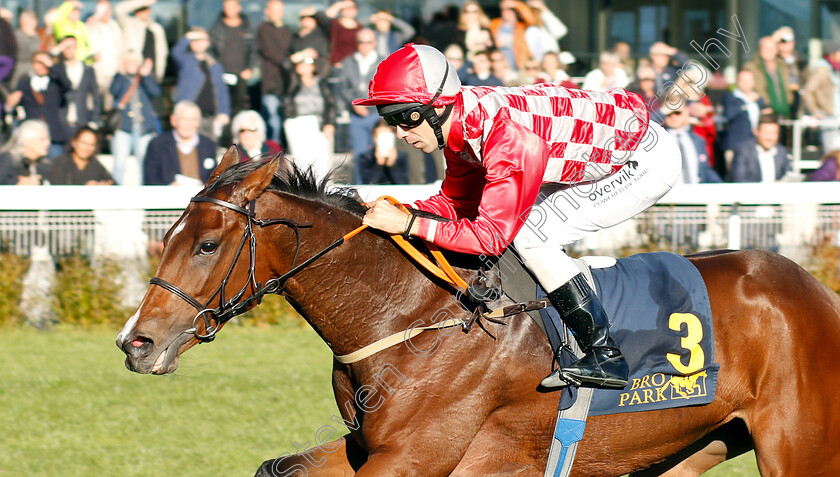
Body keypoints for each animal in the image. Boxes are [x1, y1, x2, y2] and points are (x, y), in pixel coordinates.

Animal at [116, 150, 840, 476]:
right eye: (168, 234)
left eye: (207, 244)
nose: (136, 342)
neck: (408, 319)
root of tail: (819, 294)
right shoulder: (365, 446)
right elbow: (280, 467)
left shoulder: (415, 458)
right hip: (688, 445)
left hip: (798, 449)